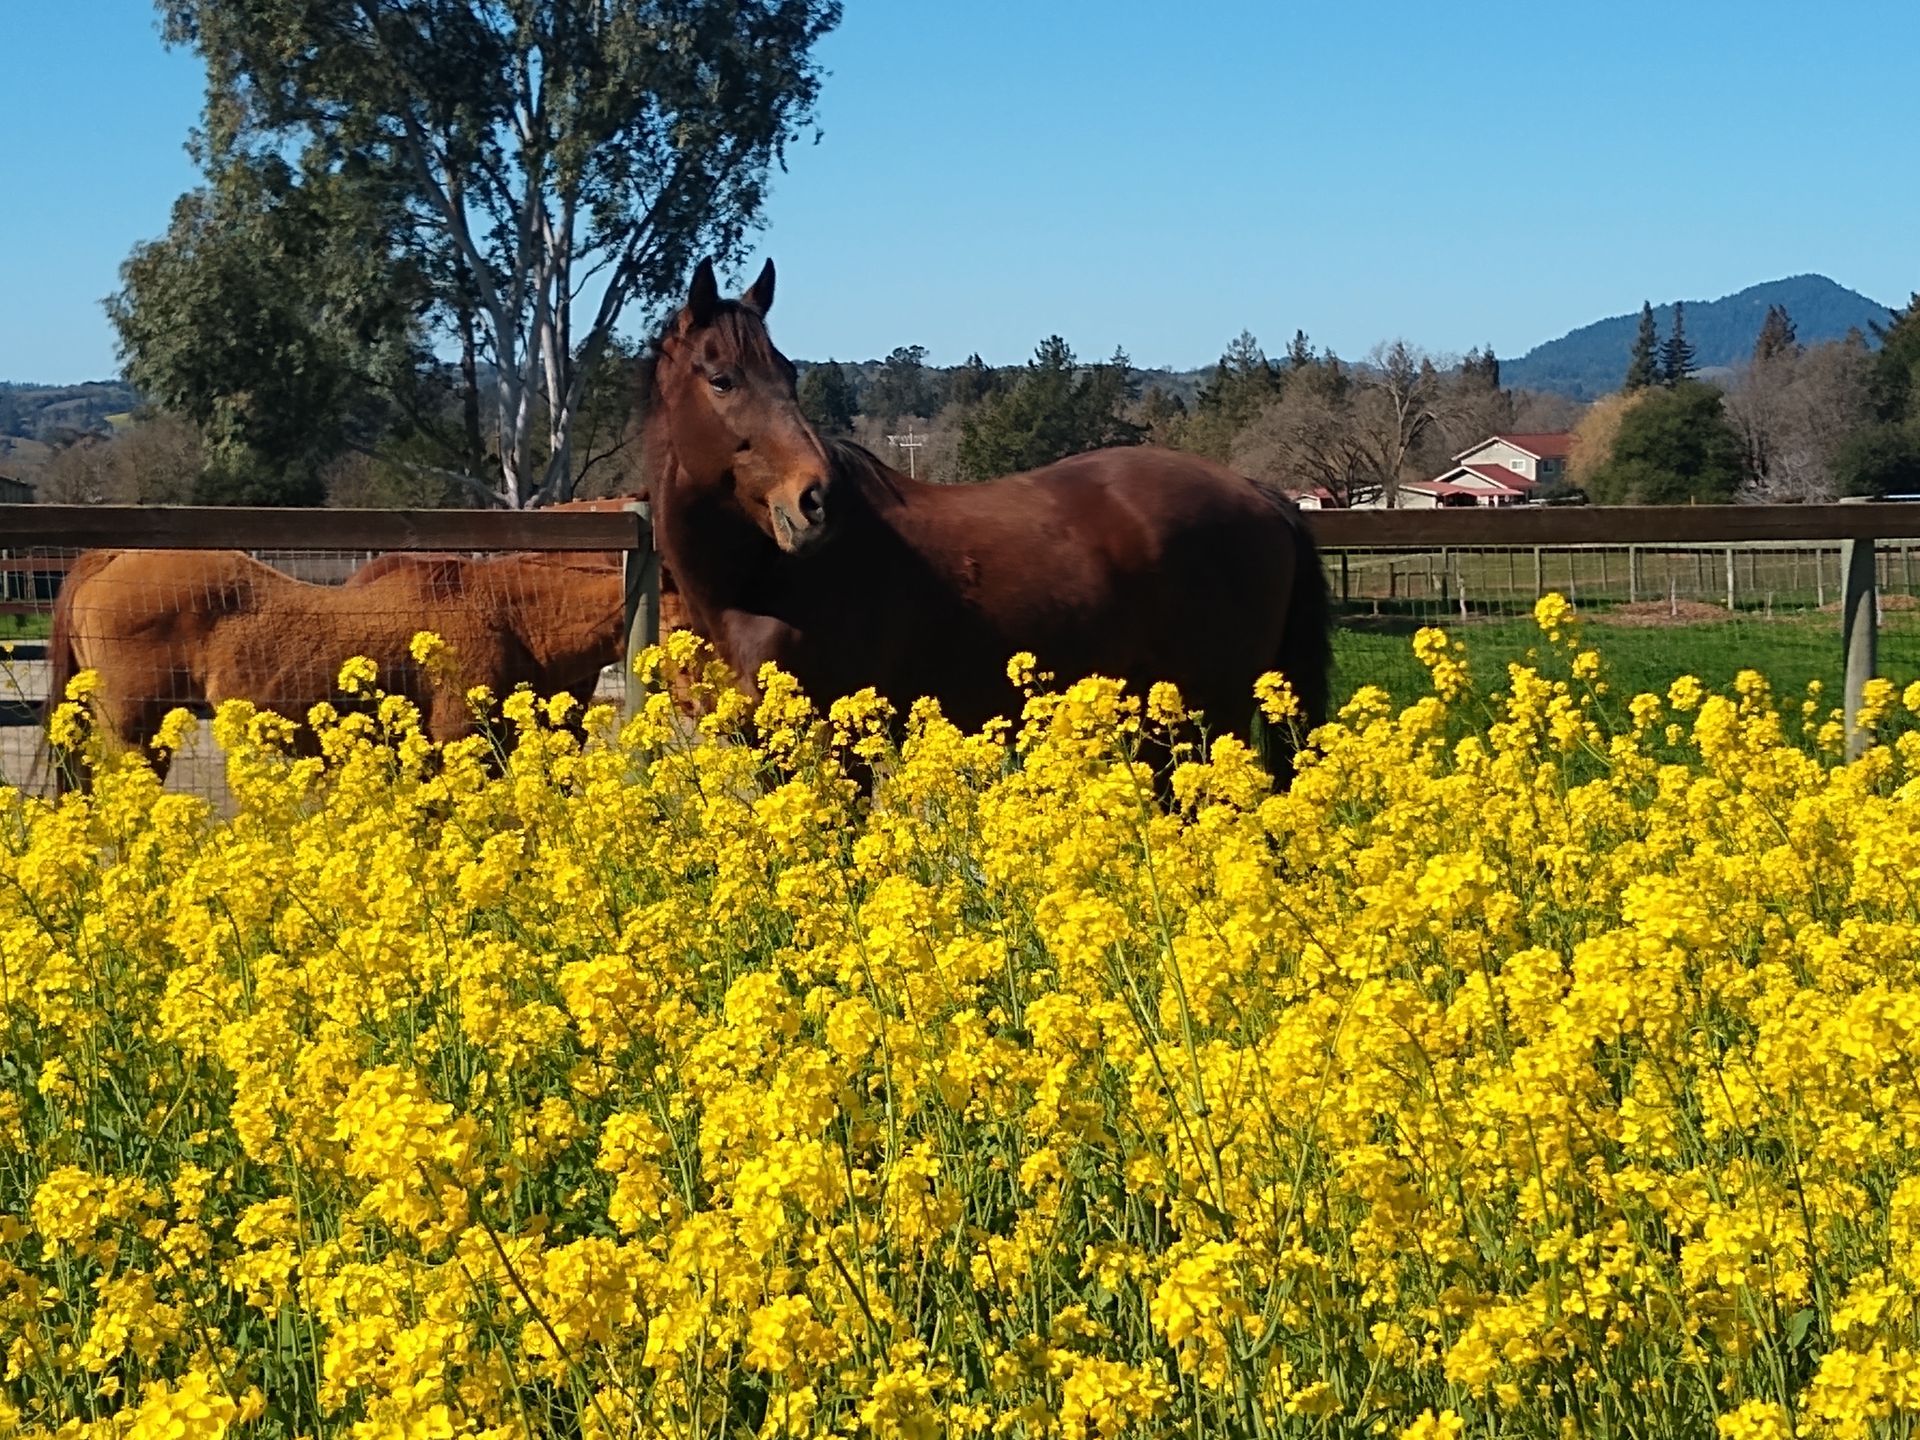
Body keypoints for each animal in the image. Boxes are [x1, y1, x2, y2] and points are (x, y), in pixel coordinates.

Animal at [639, 258, 1332, 777]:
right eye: (722, 379)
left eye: (787, 374)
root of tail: (1259, 493)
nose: (815, 500)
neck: (761, 583)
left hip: (1204, 719)